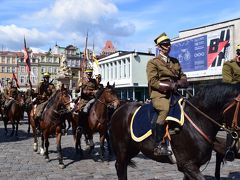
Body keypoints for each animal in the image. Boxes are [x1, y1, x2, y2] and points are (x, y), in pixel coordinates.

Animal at [109, 83, 239, 180]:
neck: (198, 119)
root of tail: (119, 108)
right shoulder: (188, 165)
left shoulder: (191, 167)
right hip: (122, 149)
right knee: (120, 167)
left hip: (133, 149)